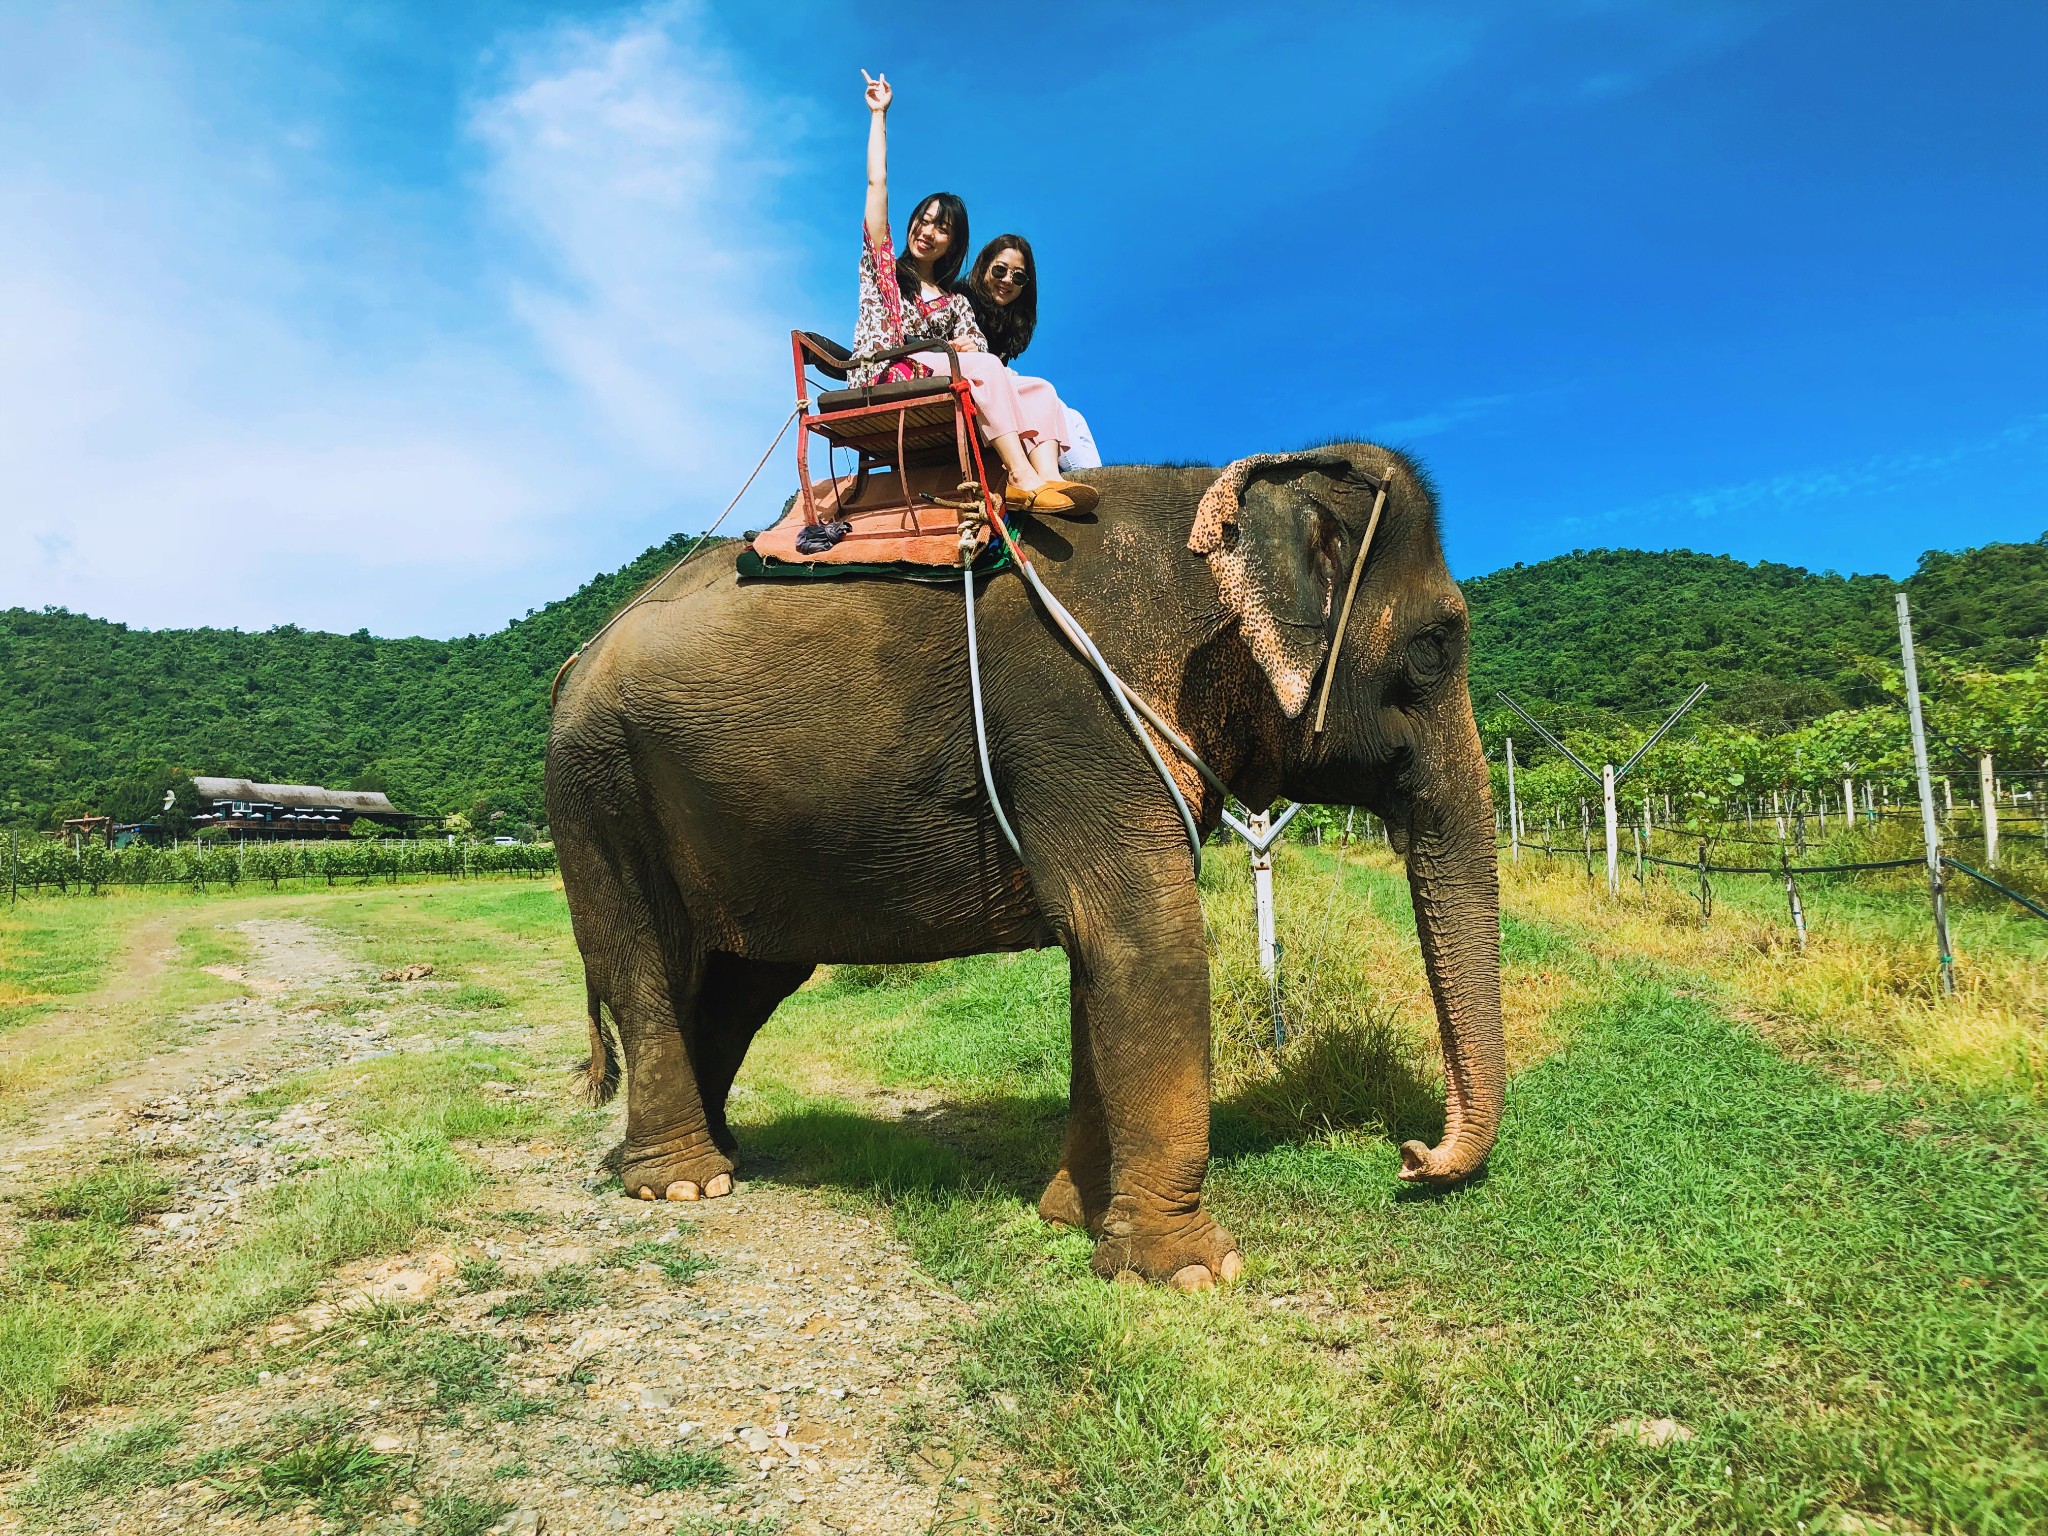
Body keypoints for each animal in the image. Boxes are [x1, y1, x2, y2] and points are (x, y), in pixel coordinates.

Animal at [544, 438, 1507, 1294]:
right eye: (1436, 646)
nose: (1413, 1159)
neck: (1213, 500)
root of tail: (577, 656)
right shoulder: (1080, 712)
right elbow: (1146, 943)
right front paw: (1193, 1271)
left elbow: (1103, 959)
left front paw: (1073, 1217)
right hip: (599, 790)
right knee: (646, 971)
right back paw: (680, 1182)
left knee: (743, 983)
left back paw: (721, 1156)